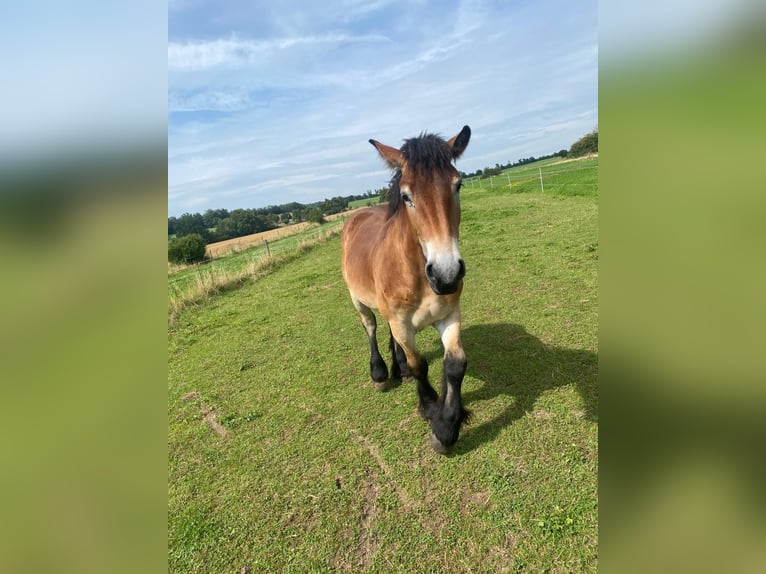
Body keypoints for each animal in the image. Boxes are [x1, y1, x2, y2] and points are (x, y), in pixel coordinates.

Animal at [344, 126, 474, 454]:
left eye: (458, 185)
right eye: (406, 196)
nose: (446, 274)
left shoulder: (449, 315)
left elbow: (455, 365)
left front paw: (447, 427)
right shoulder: (401, 322)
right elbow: (419, 364)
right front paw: (430, 410)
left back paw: (397, 367)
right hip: (358, 300)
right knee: (371, 326)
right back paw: (379, 373)